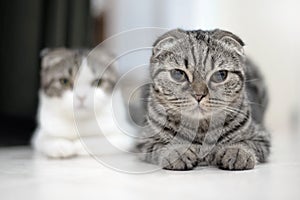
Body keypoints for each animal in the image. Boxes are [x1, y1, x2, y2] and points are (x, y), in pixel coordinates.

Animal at [137, 28, 270, 170]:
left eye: (220, 75)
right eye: (178, 74)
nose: (199, 95)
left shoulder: (261, 136)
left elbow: (247, 143)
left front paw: (237, 152)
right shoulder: (144, 140)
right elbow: (160, 146)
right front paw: (178, 151)